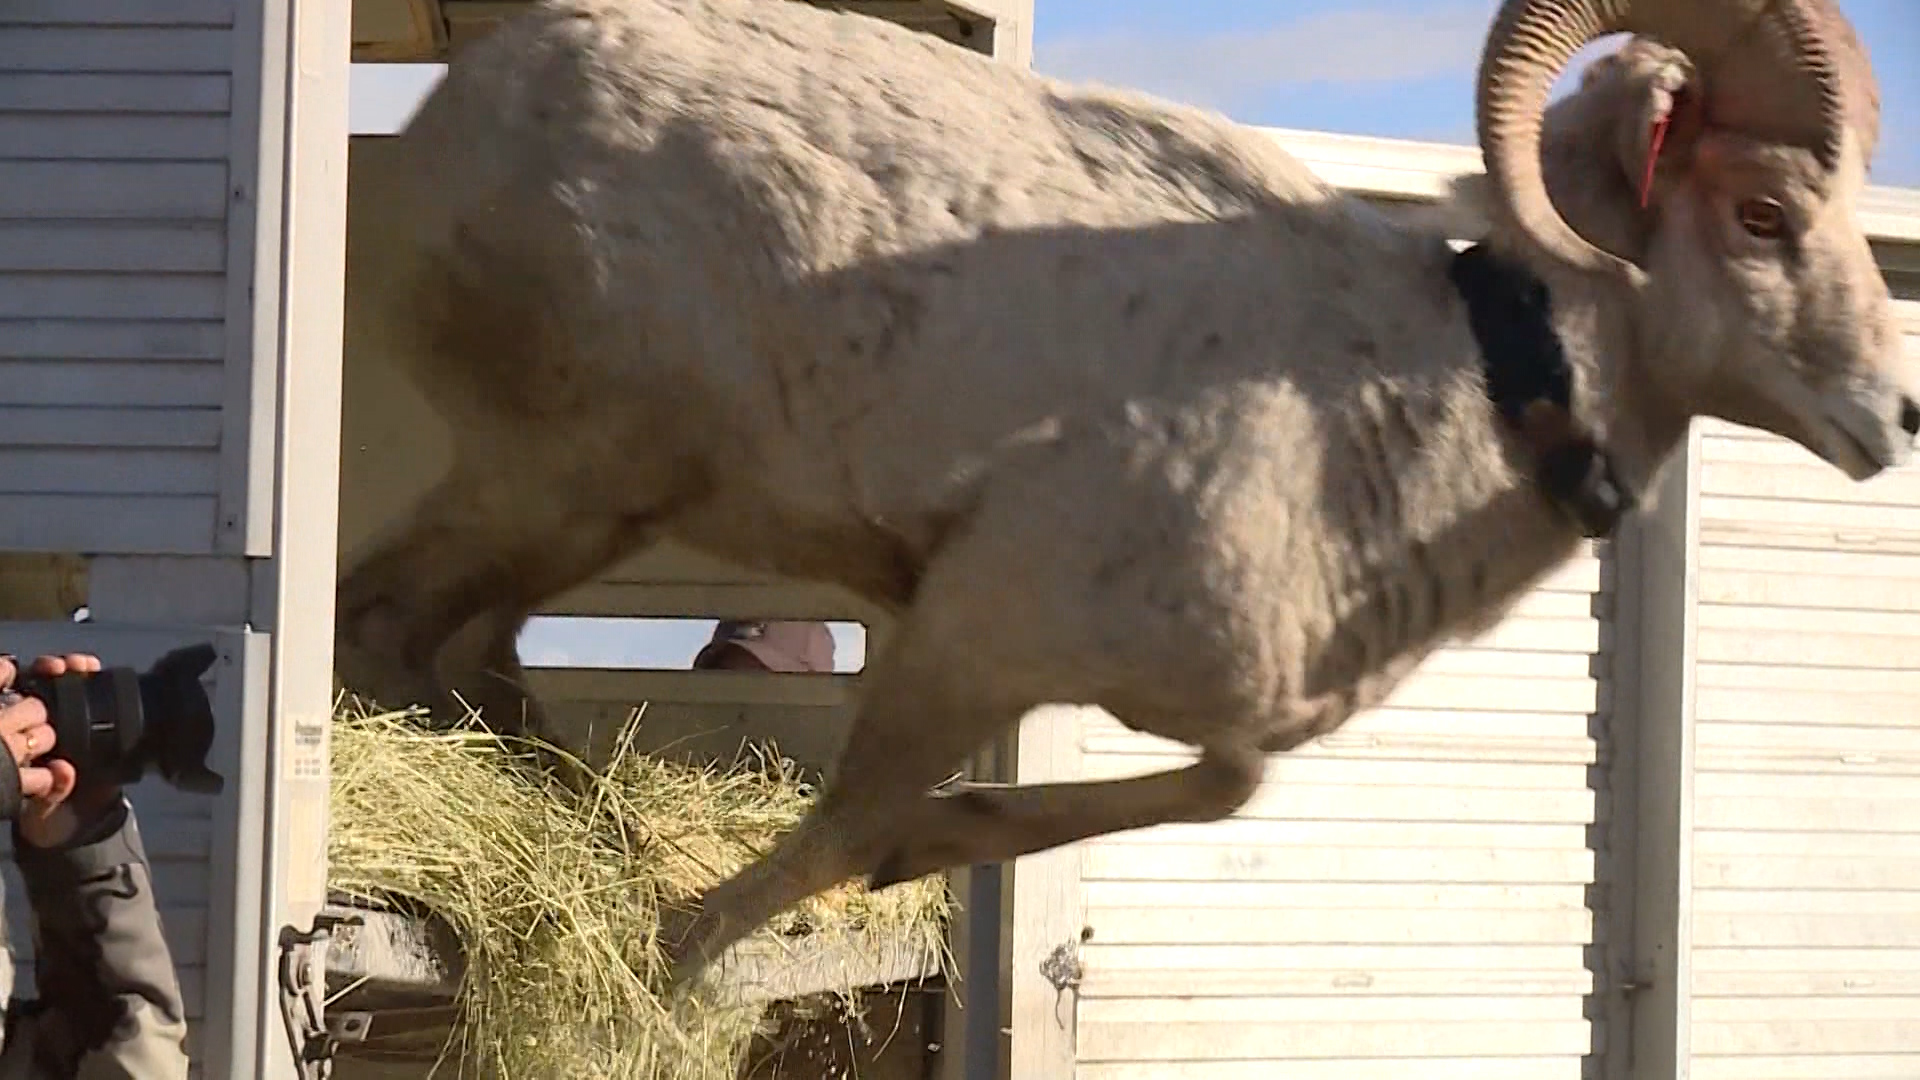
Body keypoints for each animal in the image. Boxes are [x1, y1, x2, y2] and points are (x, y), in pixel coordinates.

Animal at [333, 0, 1914, 988]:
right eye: (1762, 212)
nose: (1893, 418)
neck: (1434, 387)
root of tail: (454, 118)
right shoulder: (974, 626)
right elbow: (843, 820)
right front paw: (676, 954)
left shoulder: (1167, 690)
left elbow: (1216, 788)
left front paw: (929, 847)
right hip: (565, 475)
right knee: (385, 625)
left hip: (583, 502)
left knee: (470, 654)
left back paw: (586, 825)